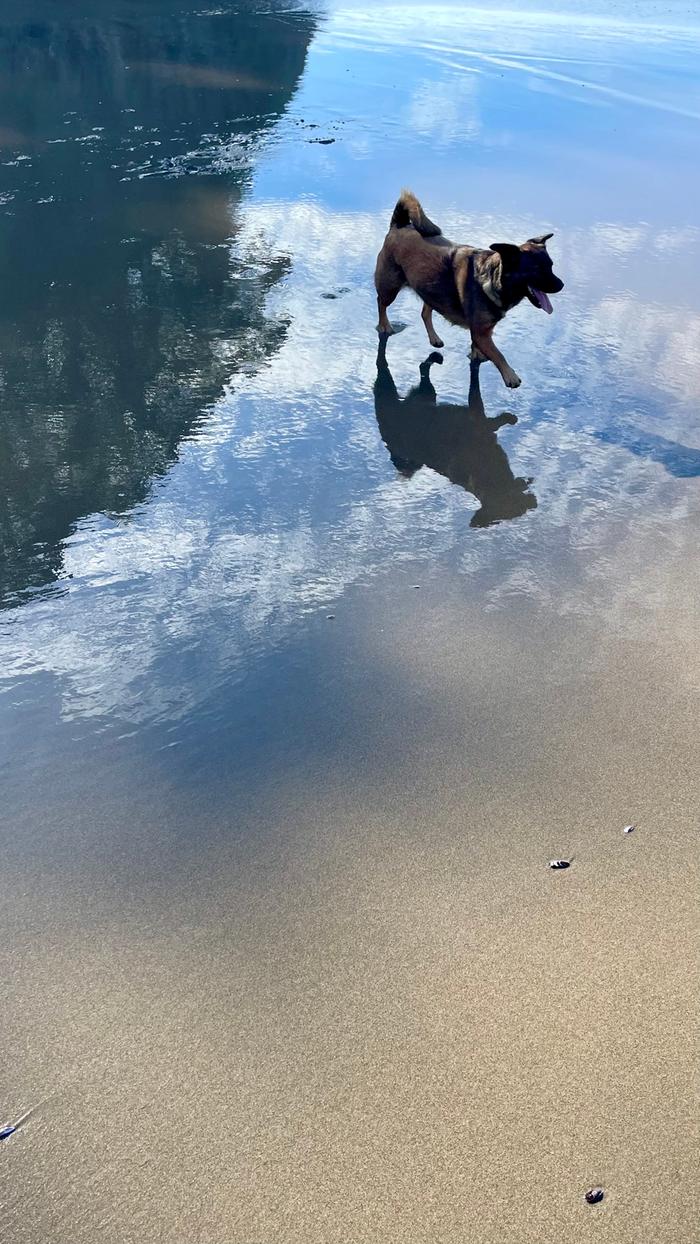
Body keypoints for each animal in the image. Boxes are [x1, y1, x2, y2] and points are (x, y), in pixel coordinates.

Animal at [375, 190, 566, 388]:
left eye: (551, 266)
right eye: (537, 270)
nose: (561, 285)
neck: (493, 279)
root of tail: (399, 225)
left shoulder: (482, 331)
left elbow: (480, 350)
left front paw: (477, 355)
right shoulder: (481, 333)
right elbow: (498, 354)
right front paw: (510, 375)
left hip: (431, 287)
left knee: (425, 311)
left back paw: (434, 338)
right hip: (390, 287)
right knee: (381, 303)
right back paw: (385, 325)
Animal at [377, 343, 537, 527]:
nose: (530, 498)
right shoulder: (478, 417)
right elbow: (477, 384)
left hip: (427, 394)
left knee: (423, 368)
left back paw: (433, 358)